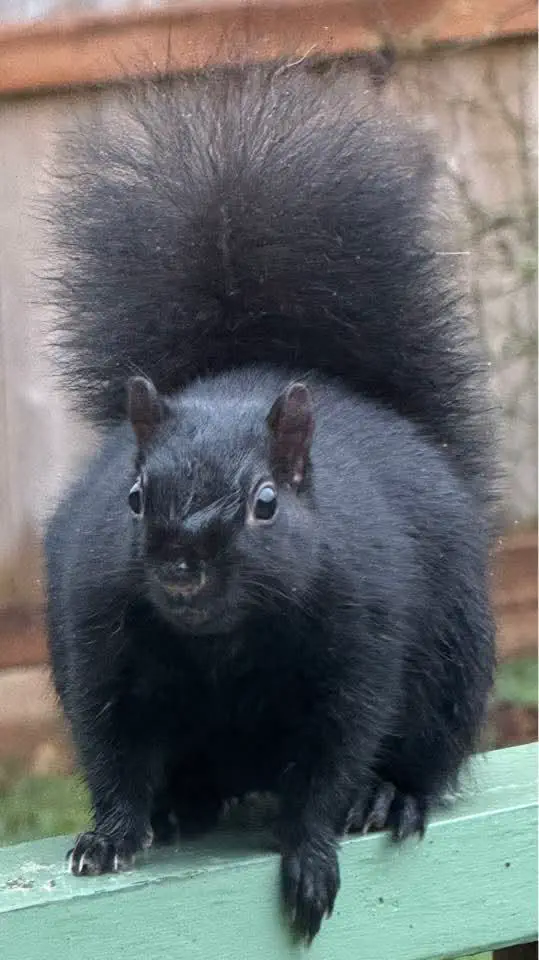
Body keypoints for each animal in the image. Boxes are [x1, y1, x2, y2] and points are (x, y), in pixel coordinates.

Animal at [44, 61, 496, 943]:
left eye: (264, 504)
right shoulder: (96, 637)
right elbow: (112, 749)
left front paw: (313, 850)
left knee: (426, 751)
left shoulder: (358, 646)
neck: (221, 638)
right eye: (134, 496)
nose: (181, 567)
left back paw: (392, 794)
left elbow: (331, 760)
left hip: (455, 665)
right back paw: (181, 807)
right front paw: (109, 836)